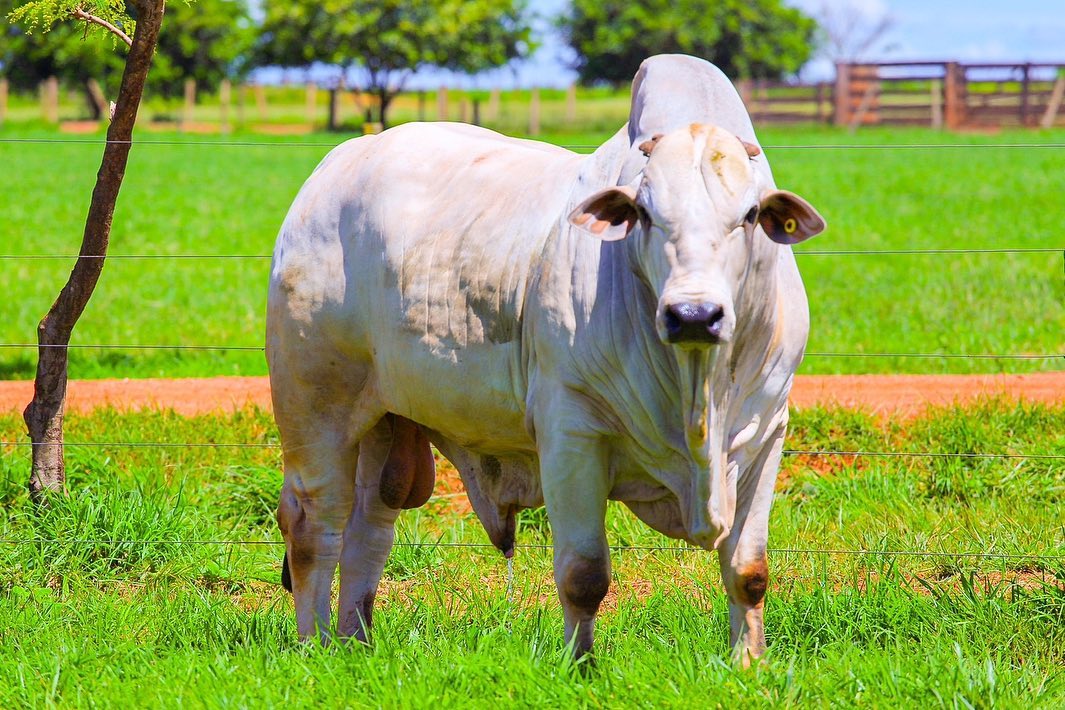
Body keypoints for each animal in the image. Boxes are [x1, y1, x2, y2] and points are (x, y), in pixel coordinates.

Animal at [264, 54, 822, 659]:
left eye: (750, 214)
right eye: (644, 213)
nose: (694, 315)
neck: (698, 395)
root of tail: (332, 169)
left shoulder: (766, 434)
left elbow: (749, 573)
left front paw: (749, 664)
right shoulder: (571, 434)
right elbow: (583, 576)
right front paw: (581, 667)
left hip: (387, 421)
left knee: (369, 526)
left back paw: (354, 644)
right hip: (315, 408)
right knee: (315, 526)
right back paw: (314, 648)